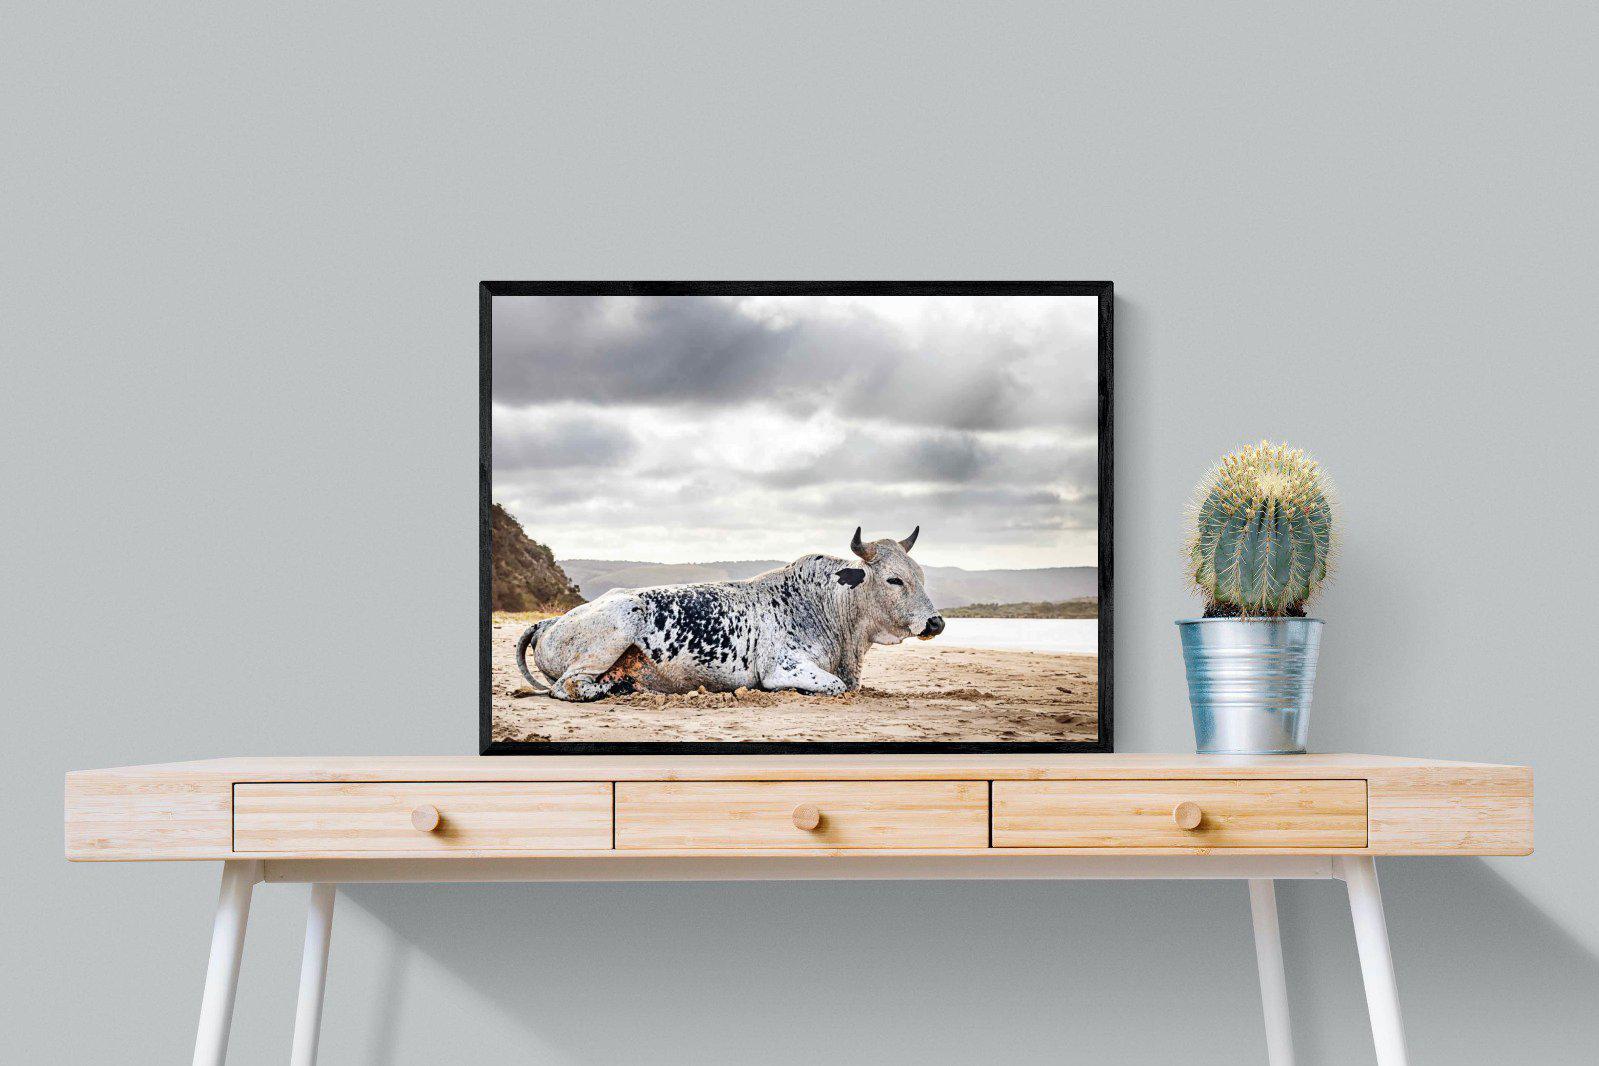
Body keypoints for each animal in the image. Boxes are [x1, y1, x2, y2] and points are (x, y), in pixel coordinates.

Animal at [515, 526, 944, 701]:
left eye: (921, 576)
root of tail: (550, 621)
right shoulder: (782, 667)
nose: (936, 622)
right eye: (893, 579)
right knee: (567, 686)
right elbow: (835, 686)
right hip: (617, 627)